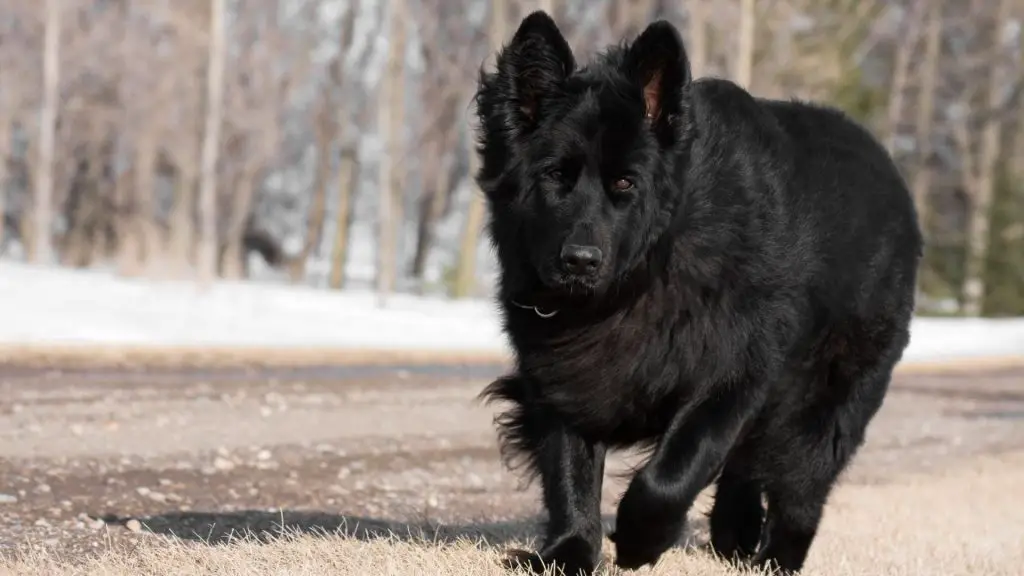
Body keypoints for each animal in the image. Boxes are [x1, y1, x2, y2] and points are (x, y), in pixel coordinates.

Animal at [471, 10, 921, 573]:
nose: (580, 260)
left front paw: (639, 539)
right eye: (554, 176)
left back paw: (776, 556)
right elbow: (570, 472)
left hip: (826, 400)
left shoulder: (733, 375)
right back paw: (735, 534)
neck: (645, 273)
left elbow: (675, 469)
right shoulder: (562, 378)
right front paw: (568, 552)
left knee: (801, 484)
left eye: (625, 184)